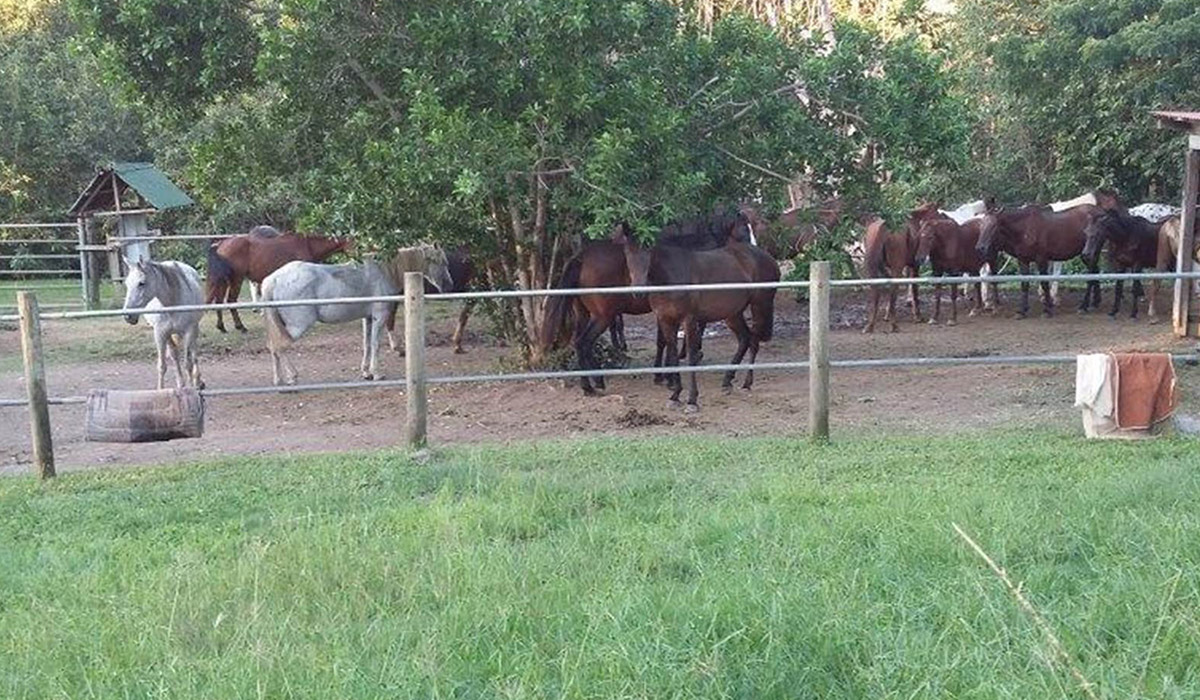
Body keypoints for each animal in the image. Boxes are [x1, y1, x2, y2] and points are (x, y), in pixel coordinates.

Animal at [122, 259, 206, 391]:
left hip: (194, 329)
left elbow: (188, 364)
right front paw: (160, 390)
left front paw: (192, 388)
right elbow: (162, 366)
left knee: (194, 353)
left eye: (141, 283)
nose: (128, 317)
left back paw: (197, 381)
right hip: (169, 335)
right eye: (127, 283)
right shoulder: (160, 334)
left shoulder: (188, 331)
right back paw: (181, 384)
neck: (172, 302)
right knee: (174, 355)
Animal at [204, 226, 348, 331]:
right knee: (231, 300)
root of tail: (221, 244)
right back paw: (240, 326)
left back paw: (222, 326)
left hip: (223, 281)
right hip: (236, 279)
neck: (307, 245)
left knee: (219, 301)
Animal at [260, 244, 451, 389]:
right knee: (279, 346)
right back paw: (292, 376)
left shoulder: (367, 319)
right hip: (298, 326)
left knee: (273, 347)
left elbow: (367, 344)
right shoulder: (379, 317)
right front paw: (377, 373)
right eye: (439, 261)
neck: (384, 271)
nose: (449, 285)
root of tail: (274, 280)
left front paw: (366, 372)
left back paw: (279, 380)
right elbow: (375, 345)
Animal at [619, 226, 777, 413]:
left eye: (648, 251)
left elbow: (691, 356)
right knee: (745, 339)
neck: (671, 276)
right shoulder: (666, 321)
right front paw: (675, 396)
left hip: (759, 306)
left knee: (754, 341)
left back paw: (746, 383)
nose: (638, 291)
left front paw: (692, 401)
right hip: (733, 314)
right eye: (627, 251)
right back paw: (727, 381)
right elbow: (673, 355)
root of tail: (769, 258)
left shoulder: (689, 320)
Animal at [969, 204, 1099, 316]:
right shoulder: (1023, 260)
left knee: (1091, 276)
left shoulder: (1041, 260)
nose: (980, 247)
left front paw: (1047, 309)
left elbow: (1044, 283)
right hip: (1086, 255)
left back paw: (1084, 306)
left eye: (994, 226)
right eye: (981, 226)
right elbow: (1025, 284)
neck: (1025, 229)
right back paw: (1095, 303)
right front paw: (1023, 311)